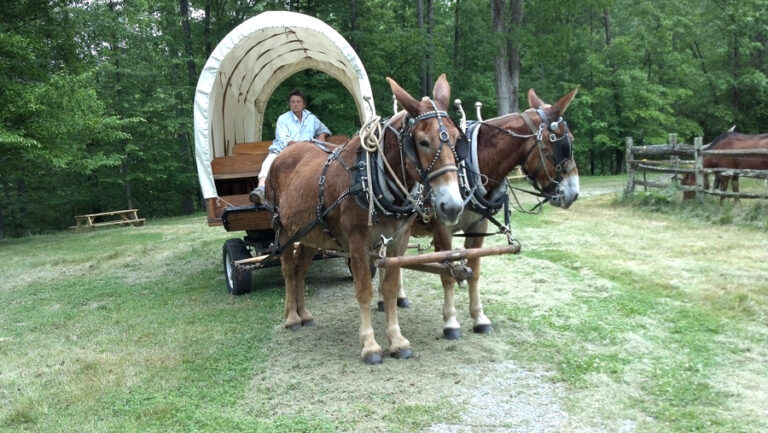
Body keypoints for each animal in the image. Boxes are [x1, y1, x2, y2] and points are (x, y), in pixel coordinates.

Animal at [268, 73, 464, 362]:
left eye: (456, 137)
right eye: (423, 142)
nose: (452, 205)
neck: (372, 176)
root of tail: (283, 154)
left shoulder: (397, 240)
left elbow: (390, 289)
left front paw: (397, 341)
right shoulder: (357, 243)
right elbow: (363, 290)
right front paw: (370, 345)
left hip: (311, 234)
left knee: (301, 268)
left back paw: (304, 314)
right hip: (284, 231)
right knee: (288, 269)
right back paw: (292, 316)